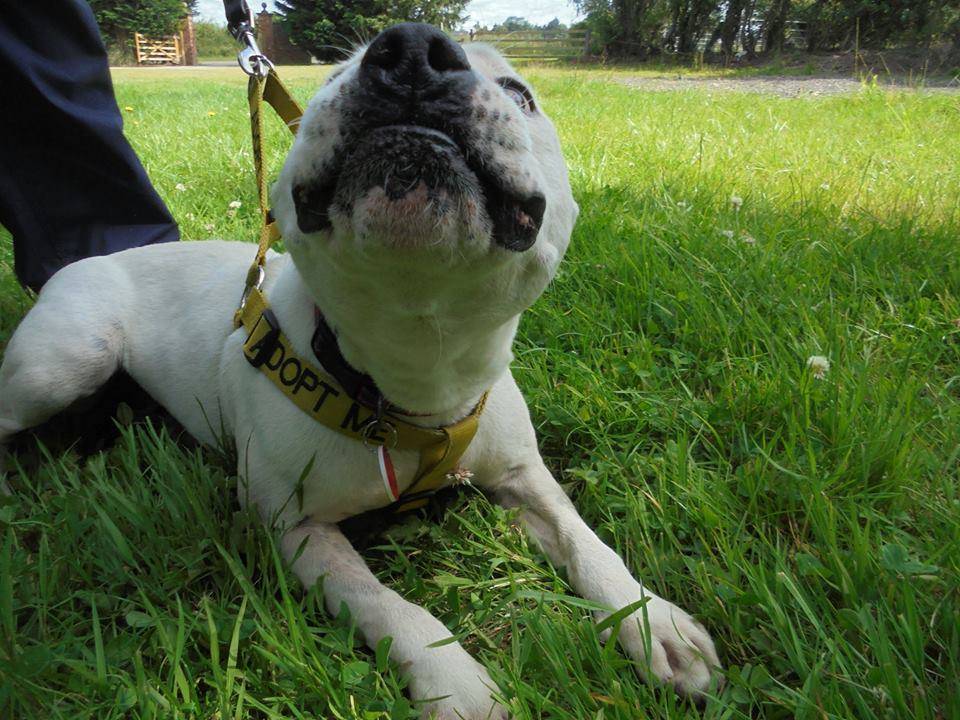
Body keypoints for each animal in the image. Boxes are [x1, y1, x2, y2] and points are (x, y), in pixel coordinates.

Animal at [0, 23, 716, 720]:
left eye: (521, 93)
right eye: (331, 77)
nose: (415, 52)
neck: (414, 371)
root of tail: (94, 257)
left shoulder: (524, 477)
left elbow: (585, 541)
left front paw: (650, 622)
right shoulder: (294, 527)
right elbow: (382, 602)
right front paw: (453, 679)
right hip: (63, 363)